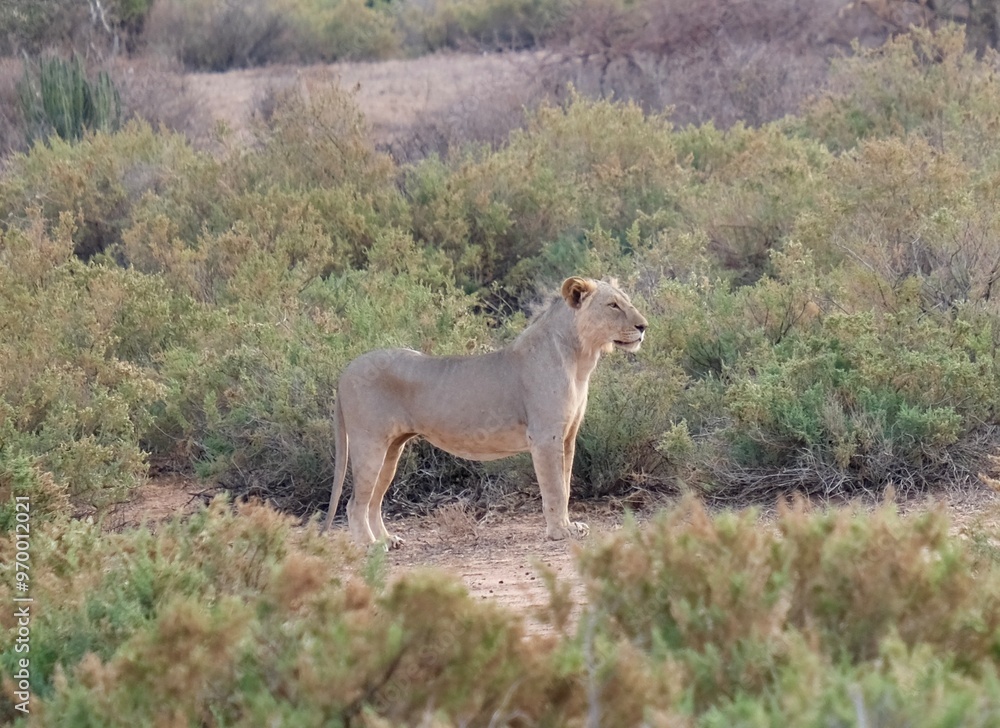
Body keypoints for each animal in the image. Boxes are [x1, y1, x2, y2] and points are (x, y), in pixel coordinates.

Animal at [321, 276, 648, 548]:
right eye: (613, 305)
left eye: (626, 301)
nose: (644, 326)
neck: (580, 359)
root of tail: (346, 370)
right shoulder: (546, 436)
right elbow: (554, 488)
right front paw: (560, 532)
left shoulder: (568, 437)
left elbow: (565, 484)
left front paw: (569, 525)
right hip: (369, 443)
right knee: (354, 503)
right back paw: (371, 545)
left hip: (392, 448)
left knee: (374, 500)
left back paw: (388, 540)